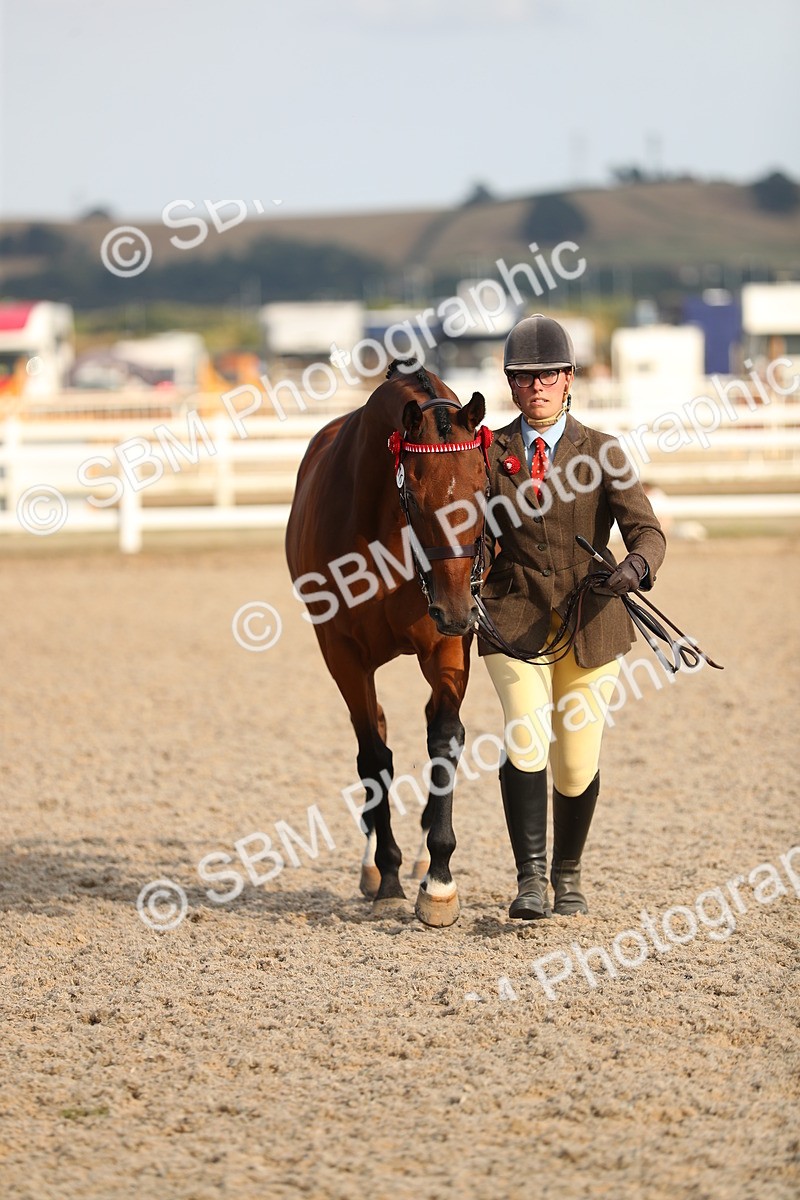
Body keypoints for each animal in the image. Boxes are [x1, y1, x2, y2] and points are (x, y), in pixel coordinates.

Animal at [285, 360, 490, 926]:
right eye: (414, 498)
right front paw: (391, 876)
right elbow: (374, 757)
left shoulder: (447, 649)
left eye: (483, 488)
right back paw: (377, 864)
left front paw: (438, 881)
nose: (458, 609)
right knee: (373, 736)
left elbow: (444, 739)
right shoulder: (343, 654)